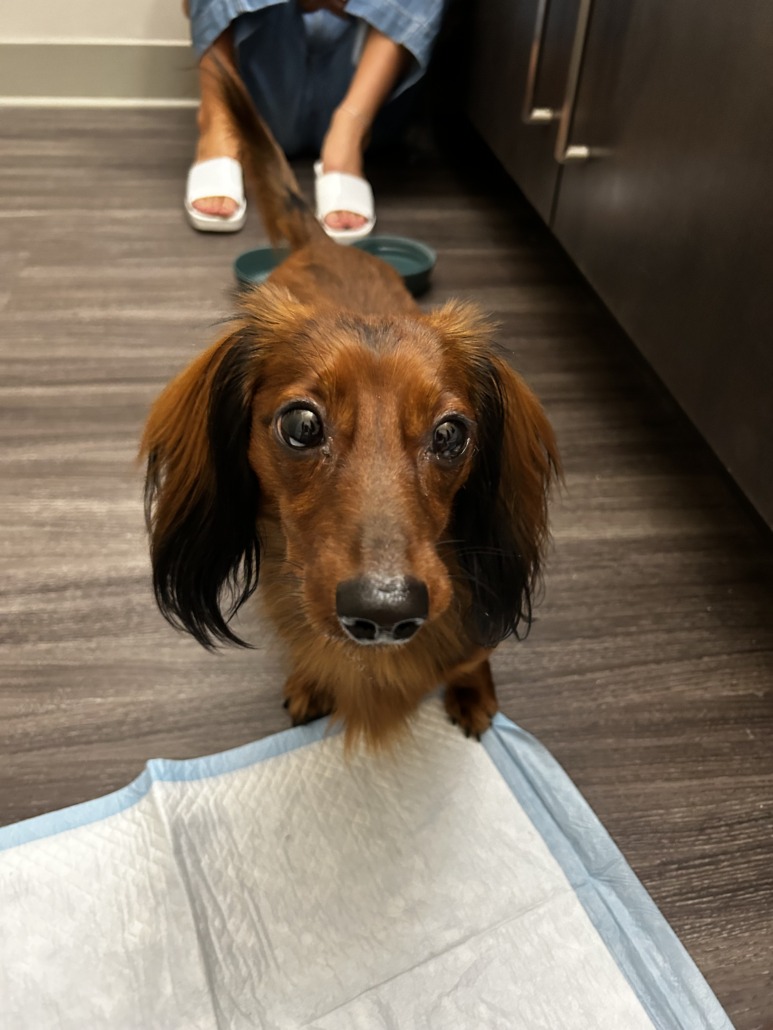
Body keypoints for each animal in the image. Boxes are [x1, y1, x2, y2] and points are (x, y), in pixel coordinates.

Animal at [140, 66, 560, 748]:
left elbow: (474, 657)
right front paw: (313, 681)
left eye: (452, 434)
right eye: (301, 424)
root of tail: (326, 241)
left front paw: (475, 693)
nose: (385, 612)